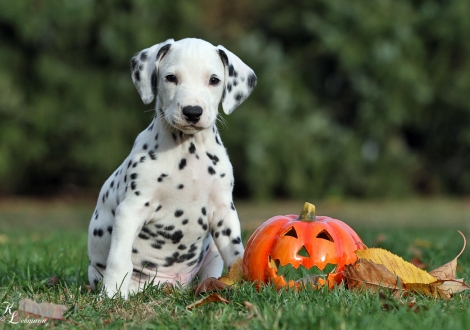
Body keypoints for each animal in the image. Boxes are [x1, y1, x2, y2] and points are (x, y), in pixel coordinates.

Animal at [88, 38, 258, 300]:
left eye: (214, 80)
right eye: (170, 78)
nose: (192, 111)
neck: (188, 150)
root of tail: (173, 284)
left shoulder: (223, 211)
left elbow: (237, 254)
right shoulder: (131, 210)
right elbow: (118, 259)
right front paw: (111, 294)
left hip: (211, 253)